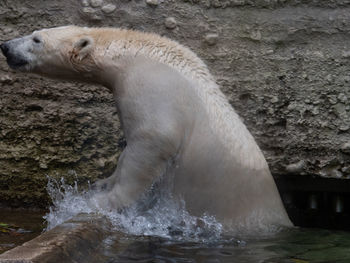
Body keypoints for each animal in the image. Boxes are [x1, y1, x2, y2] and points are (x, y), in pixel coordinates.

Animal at [0, 25, 292, 234]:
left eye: (36, 39)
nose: (5, 46)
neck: (135, 54)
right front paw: (102, 183)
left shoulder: (152, 89)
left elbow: (151, 142)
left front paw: (99, 203)